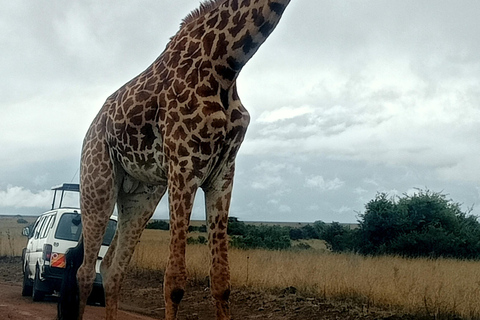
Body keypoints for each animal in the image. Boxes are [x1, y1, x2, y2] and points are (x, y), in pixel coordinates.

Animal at [59, 0, 292, 320]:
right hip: (98, 182)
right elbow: (175, 281)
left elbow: (222, 280)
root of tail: (91, 130)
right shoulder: (184, 165)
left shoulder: (223, 173)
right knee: (84, 272)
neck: (227, 63)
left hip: (142, 195)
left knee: (111, 267)